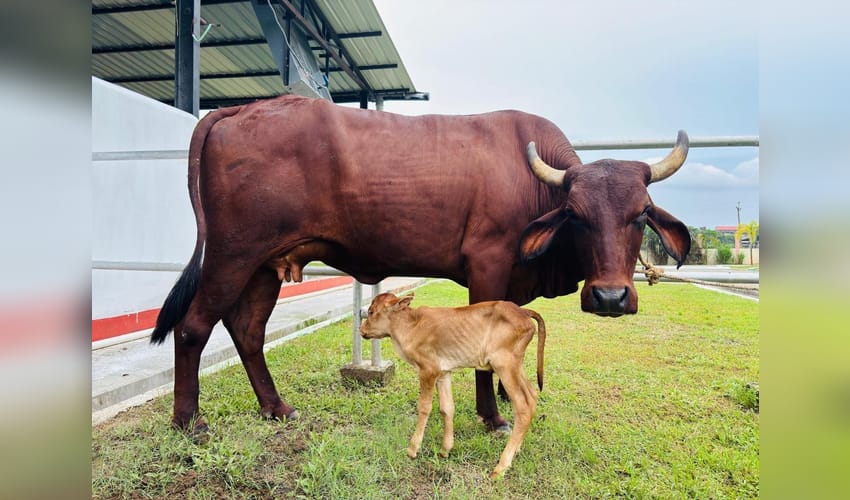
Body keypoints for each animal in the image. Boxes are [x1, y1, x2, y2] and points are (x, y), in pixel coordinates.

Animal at [151, 94, 691, 434]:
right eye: (576, 215)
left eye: (640, 213)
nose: (610, 297)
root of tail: (242, 107)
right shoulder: (488, 264)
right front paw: (493, 417)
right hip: (232, 255)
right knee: (193, 327)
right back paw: (188, 422)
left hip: (266, 265)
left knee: (247, 331)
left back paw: (277, 408)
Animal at [359, 292, 546, 478]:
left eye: (371, 311)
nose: (361, 330)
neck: (411, 326)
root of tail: (523, 311)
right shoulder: (444, 372)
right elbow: (447, 408)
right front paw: (445, 450)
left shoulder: (428, 371)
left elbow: (424, 407)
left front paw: (413, 449)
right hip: (516, 366)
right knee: (532, 395)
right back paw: (517, 449)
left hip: (504, 365)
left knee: (523, 405)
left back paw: (501, 467)